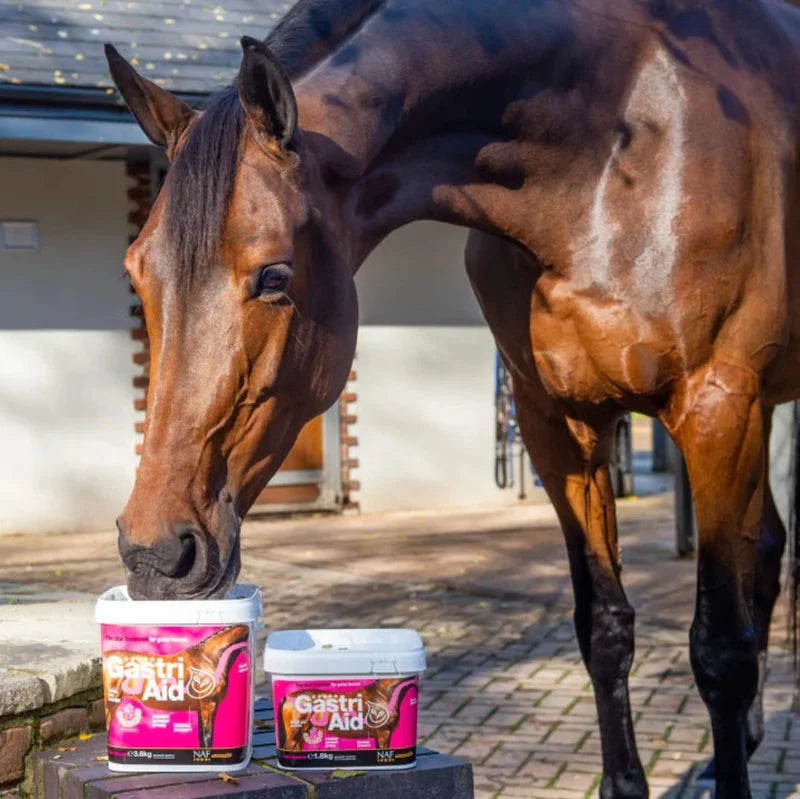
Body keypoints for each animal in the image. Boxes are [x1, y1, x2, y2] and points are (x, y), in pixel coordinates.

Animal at [103, 624, 250, 747]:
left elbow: (202, 739)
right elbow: (208, 737)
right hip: (111, 702)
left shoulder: (201, 707)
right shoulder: (209, 704)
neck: (209, 658)